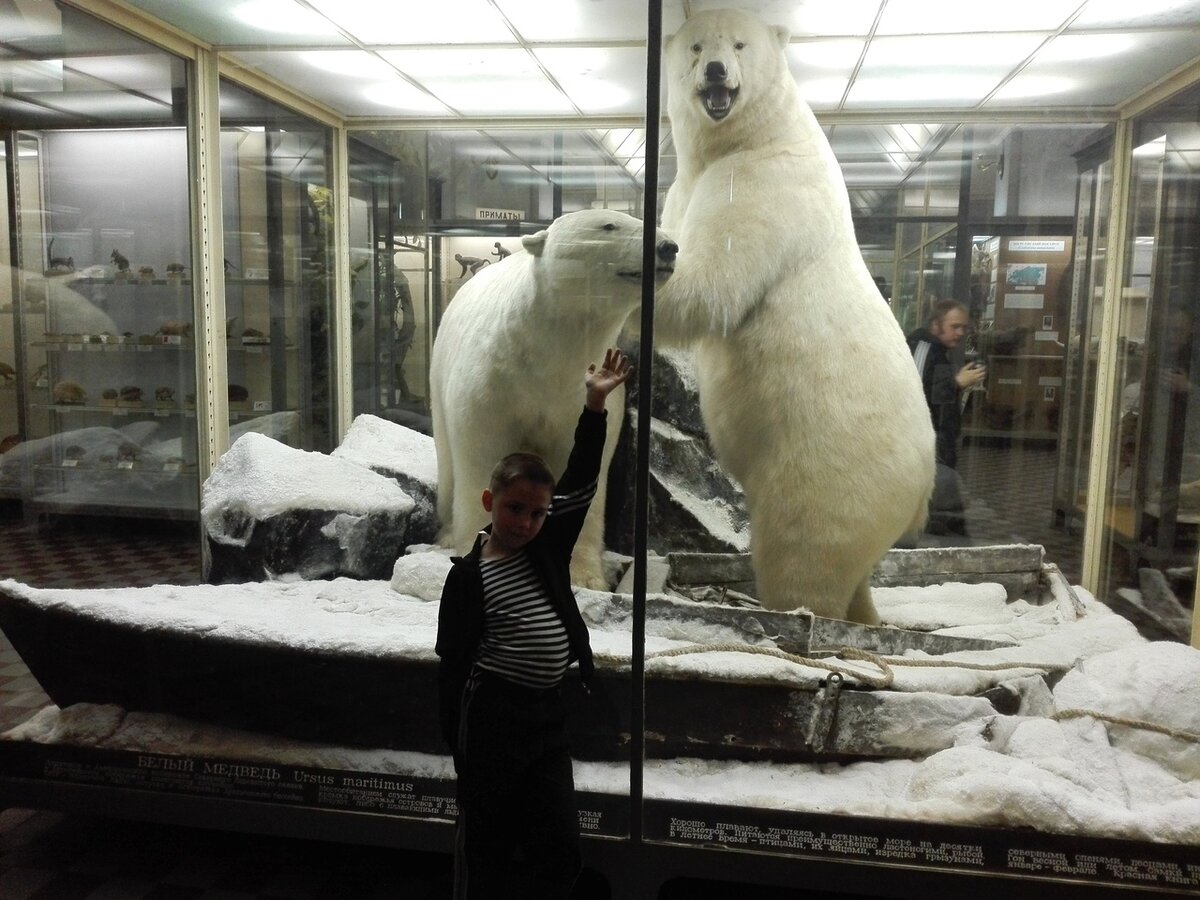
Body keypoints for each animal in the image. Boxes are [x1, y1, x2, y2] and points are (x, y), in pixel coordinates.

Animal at [432, 211, 681, 592]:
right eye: (609, 226)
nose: (668, 247)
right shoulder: (492, 379)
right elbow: (482, 450)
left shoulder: (575, 393)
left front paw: (587, 577)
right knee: (447, 461)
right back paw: (445, 533)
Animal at [662, 8, 931, 628]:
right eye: (696, 46)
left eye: (739, 44)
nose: (716, 71)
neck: (752, 135)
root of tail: (921, 490)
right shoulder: (685, 186)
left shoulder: (761, 182)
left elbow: (709, 280)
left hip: (832, 470)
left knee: (802, 553)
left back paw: (796, 619)